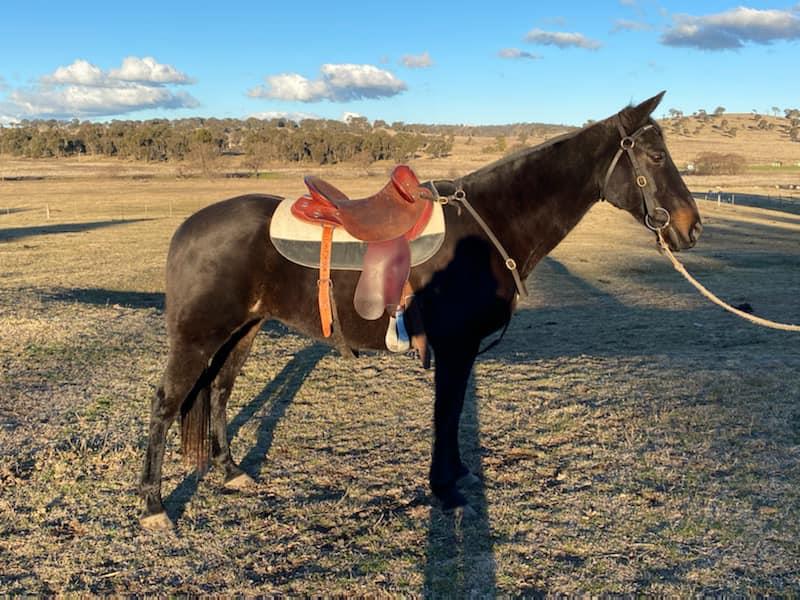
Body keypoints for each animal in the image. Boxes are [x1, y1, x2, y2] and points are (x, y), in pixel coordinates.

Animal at [139, 92, 703, 529]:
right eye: (655, 156)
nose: (691, 227)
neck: (488, 227)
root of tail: (188, 227)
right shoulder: (454, 348)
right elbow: (445, 414)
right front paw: (445, 489)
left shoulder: (460, 351)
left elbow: (452, 416)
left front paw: (455, 476)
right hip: (198, 338)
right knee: (166, 404)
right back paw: (154, 506)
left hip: (243, 331)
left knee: (217, 393)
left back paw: (231, 471)